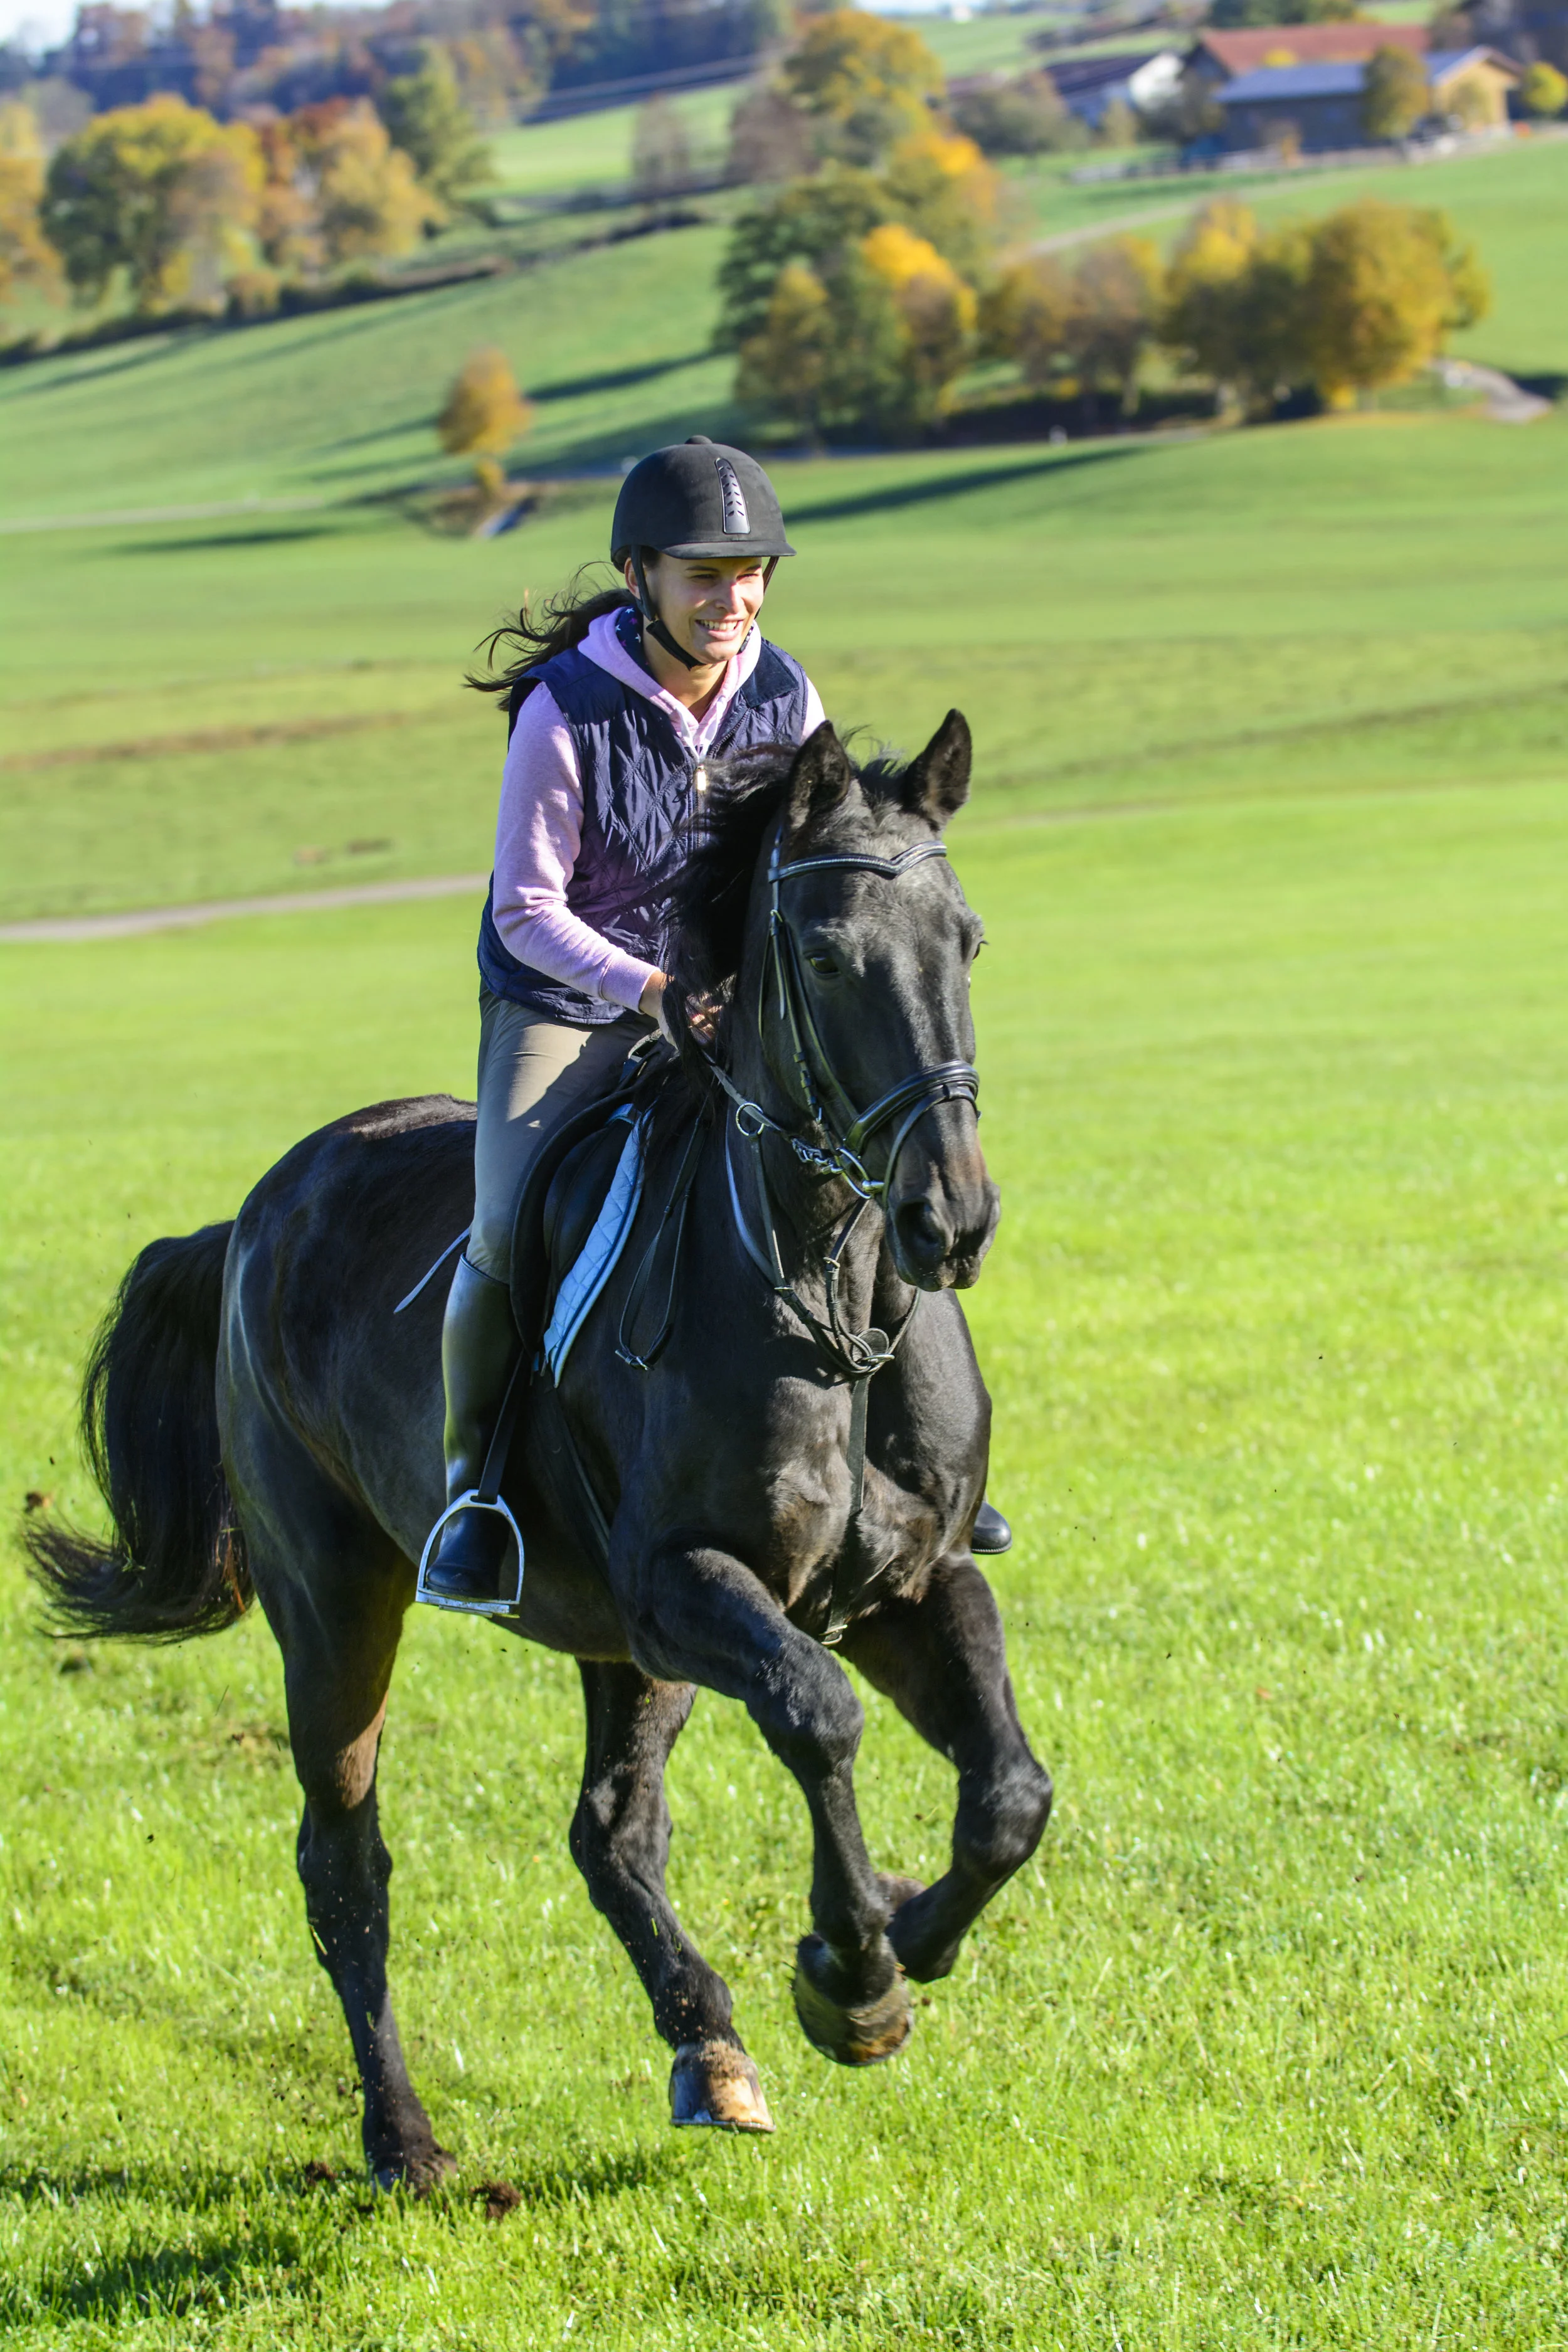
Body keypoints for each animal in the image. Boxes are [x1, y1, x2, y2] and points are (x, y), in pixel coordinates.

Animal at [27, 713, 1052, 2188]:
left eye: (964, 940)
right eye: (822, 956)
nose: (949, 1220)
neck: (827, 1306)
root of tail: (254, 1213)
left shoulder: (906, 1584)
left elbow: (1010, 1793)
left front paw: (898, 1937)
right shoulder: (687, 1586)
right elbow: (819, 1714)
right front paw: (852, 1976)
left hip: (618, 1646)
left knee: (610, 1833)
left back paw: (709, 2048)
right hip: (340, 1608)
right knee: (345, 1862)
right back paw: (404, 2140)